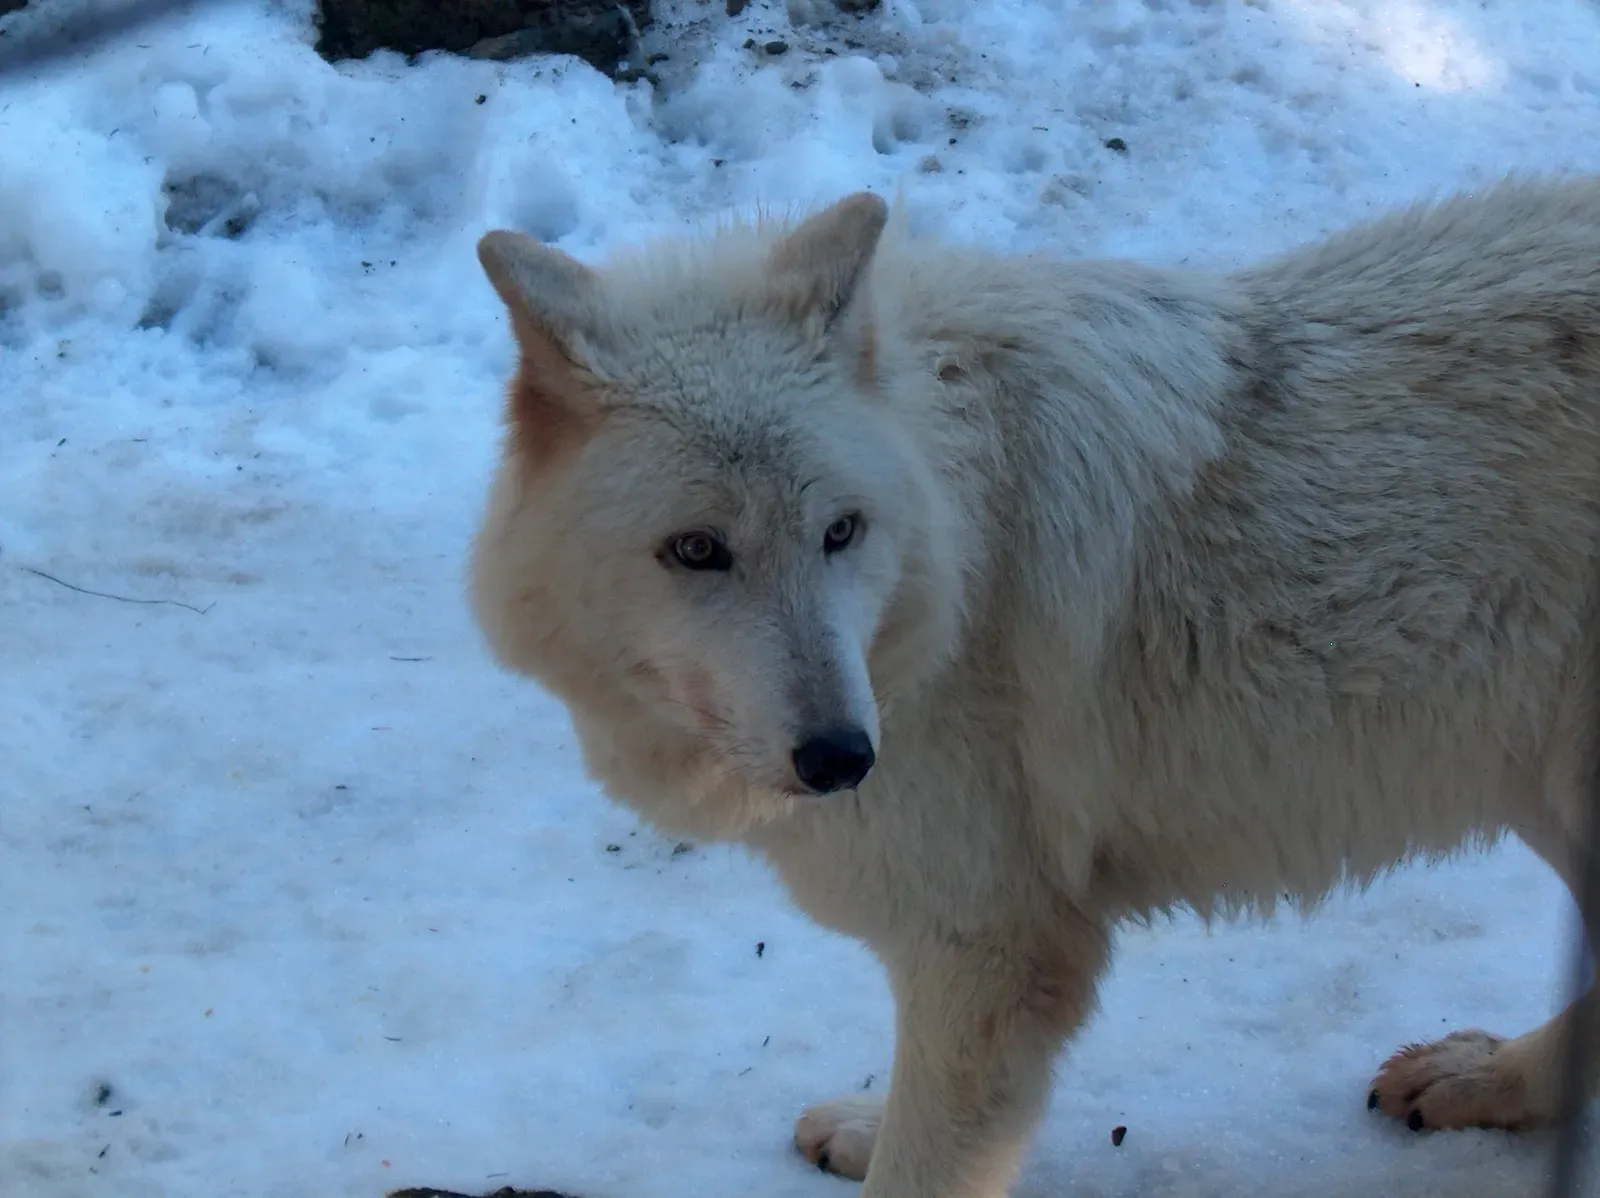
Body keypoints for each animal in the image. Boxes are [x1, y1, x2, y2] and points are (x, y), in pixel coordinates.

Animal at [466, 176, 1600, 1197]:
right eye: (697, 549)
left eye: (840, 531)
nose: (842, 758)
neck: (959, 547)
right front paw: (871, 1126)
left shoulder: (995, 951)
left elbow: (926, 1167)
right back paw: (1489, 1079)